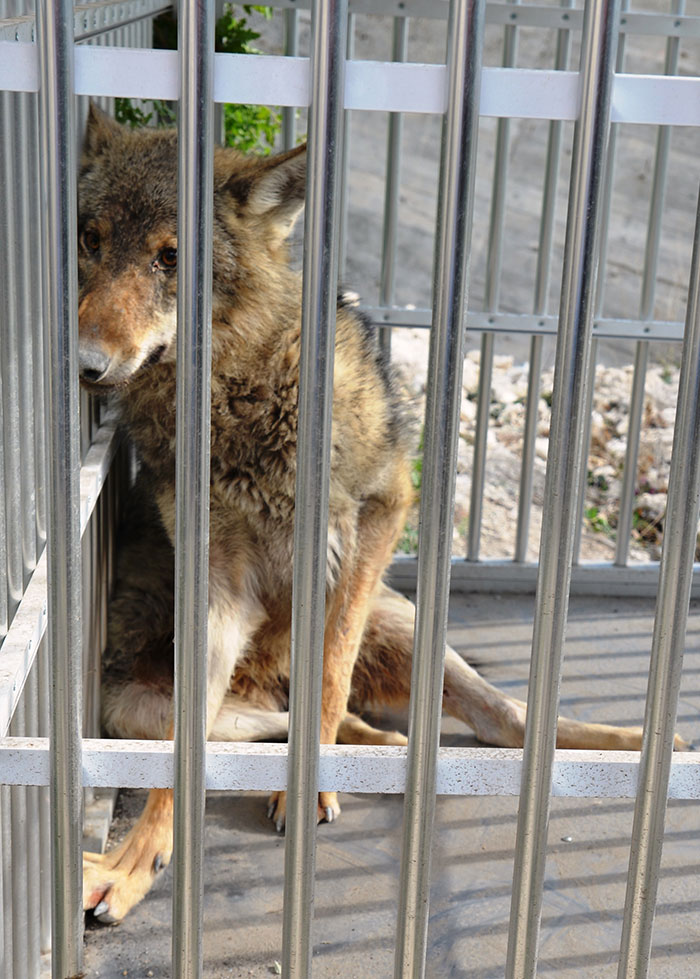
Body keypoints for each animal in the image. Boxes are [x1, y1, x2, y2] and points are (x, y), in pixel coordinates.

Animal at [78, 107, 684, 928]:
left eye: (171, 258)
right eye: (91, 239)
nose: (84, 363)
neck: (240, 394)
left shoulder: (383, 509)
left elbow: (330, 675)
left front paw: (311, 787)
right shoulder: (219, 591)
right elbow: (184, 765)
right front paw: (133, 863)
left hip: (405, 628)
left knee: (504, 718)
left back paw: (636, 745)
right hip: (138, 704)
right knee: (294, 728)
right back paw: (380, 751)